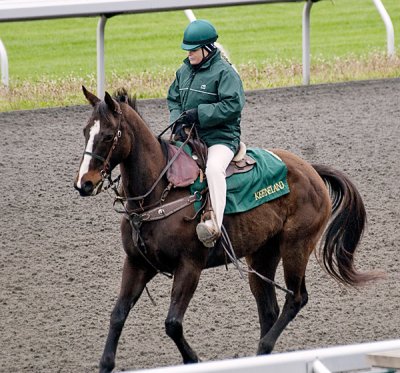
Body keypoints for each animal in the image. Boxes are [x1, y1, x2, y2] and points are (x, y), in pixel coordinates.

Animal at [73, 86, 380, 372]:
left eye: (108, 135)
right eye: (86, 131)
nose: (83, 183)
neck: (160, 192)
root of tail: (312, 170)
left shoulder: (190, 266)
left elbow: (172, 323)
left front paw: (193, 359)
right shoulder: (137, 263)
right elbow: (118, 314)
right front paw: (106, 363)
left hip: (296, 247)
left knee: (296, 298)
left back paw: (263, 347)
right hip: (262, 255)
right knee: (269, 310)